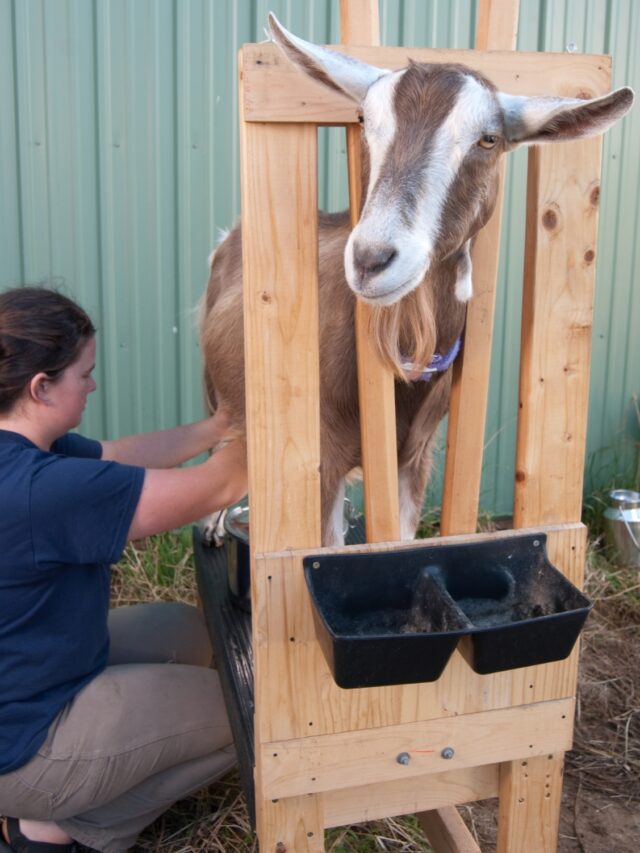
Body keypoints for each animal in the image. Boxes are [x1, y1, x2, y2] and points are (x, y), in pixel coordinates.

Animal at [201, 13, 636, 544]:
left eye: (489, 139)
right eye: (363, 121)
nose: (371, 259)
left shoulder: (416, 457)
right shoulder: (320, 462)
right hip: (215, 395)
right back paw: (214, 524)